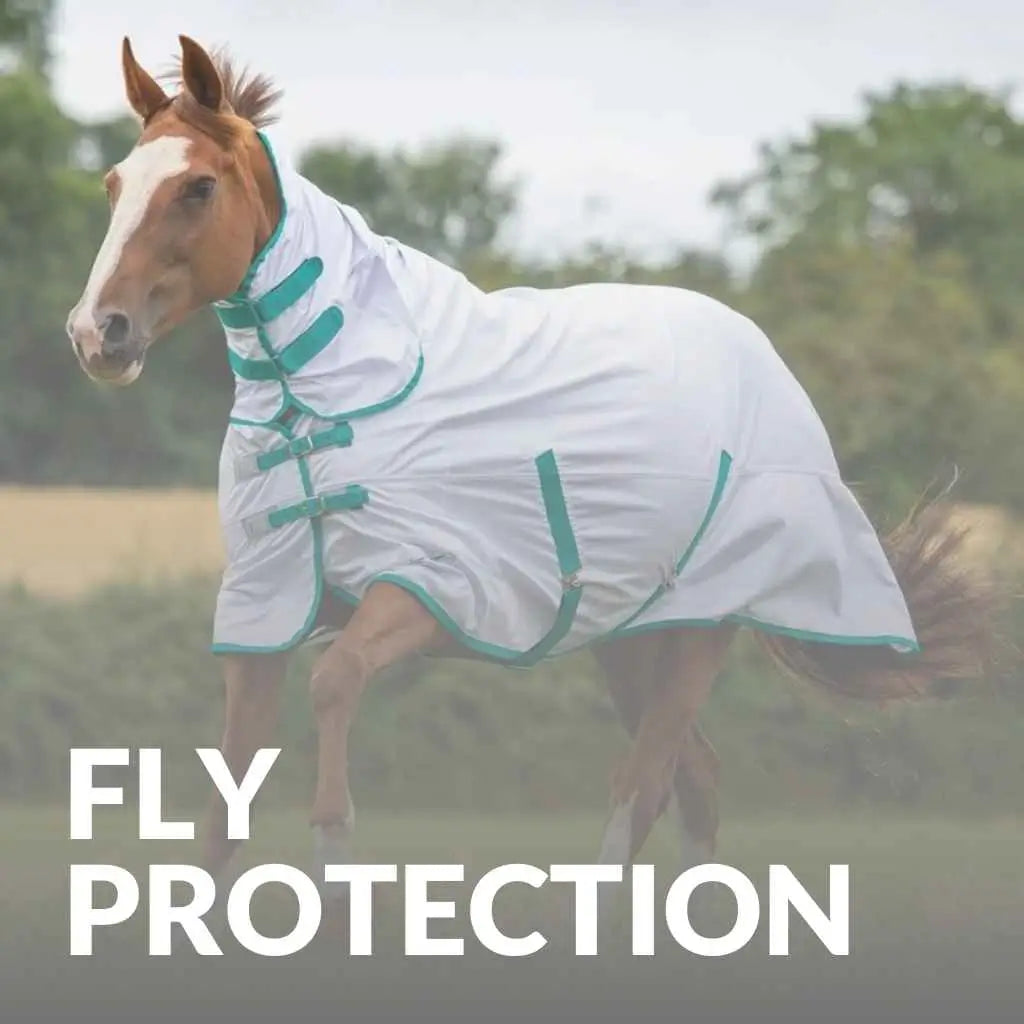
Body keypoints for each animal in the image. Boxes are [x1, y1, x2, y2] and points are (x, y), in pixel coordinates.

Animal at [66, 35, 996, 930]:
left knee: (645, 781)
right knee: (694, 778)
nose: (97, 332)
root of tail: (764, 361)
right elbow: (226, 801)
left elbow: (333, 685)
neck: (335, 388)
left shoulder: (428, 583)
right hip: (632, 635)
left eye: (196, 188)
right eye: (116, 183)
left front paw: (334, 887)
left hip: (703, 627)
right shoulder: (265, 604)